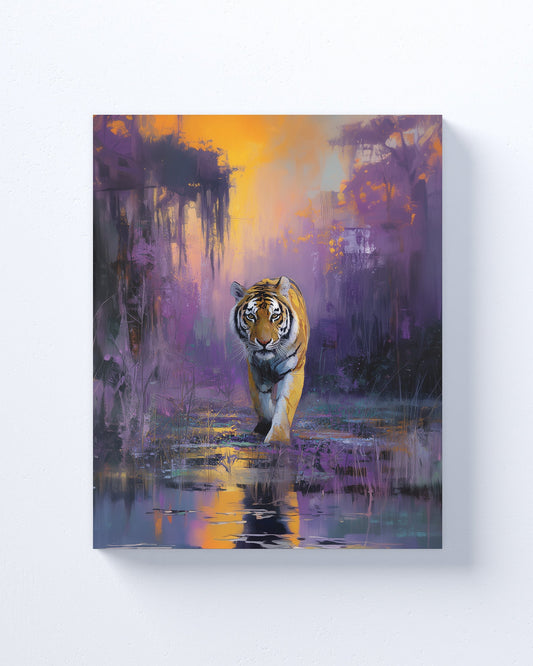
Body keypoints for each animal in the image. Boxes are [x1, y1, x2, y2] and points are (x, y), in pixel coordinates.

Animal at [230, 276, 310, 444]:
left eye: (274, 316)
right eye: (251, 316)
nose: (264, 342)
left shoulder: (293, 370)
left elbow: (285, 403)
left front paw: (277, 438)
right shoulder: (255, 370)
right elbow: (262, 402)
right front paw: (263, 427)